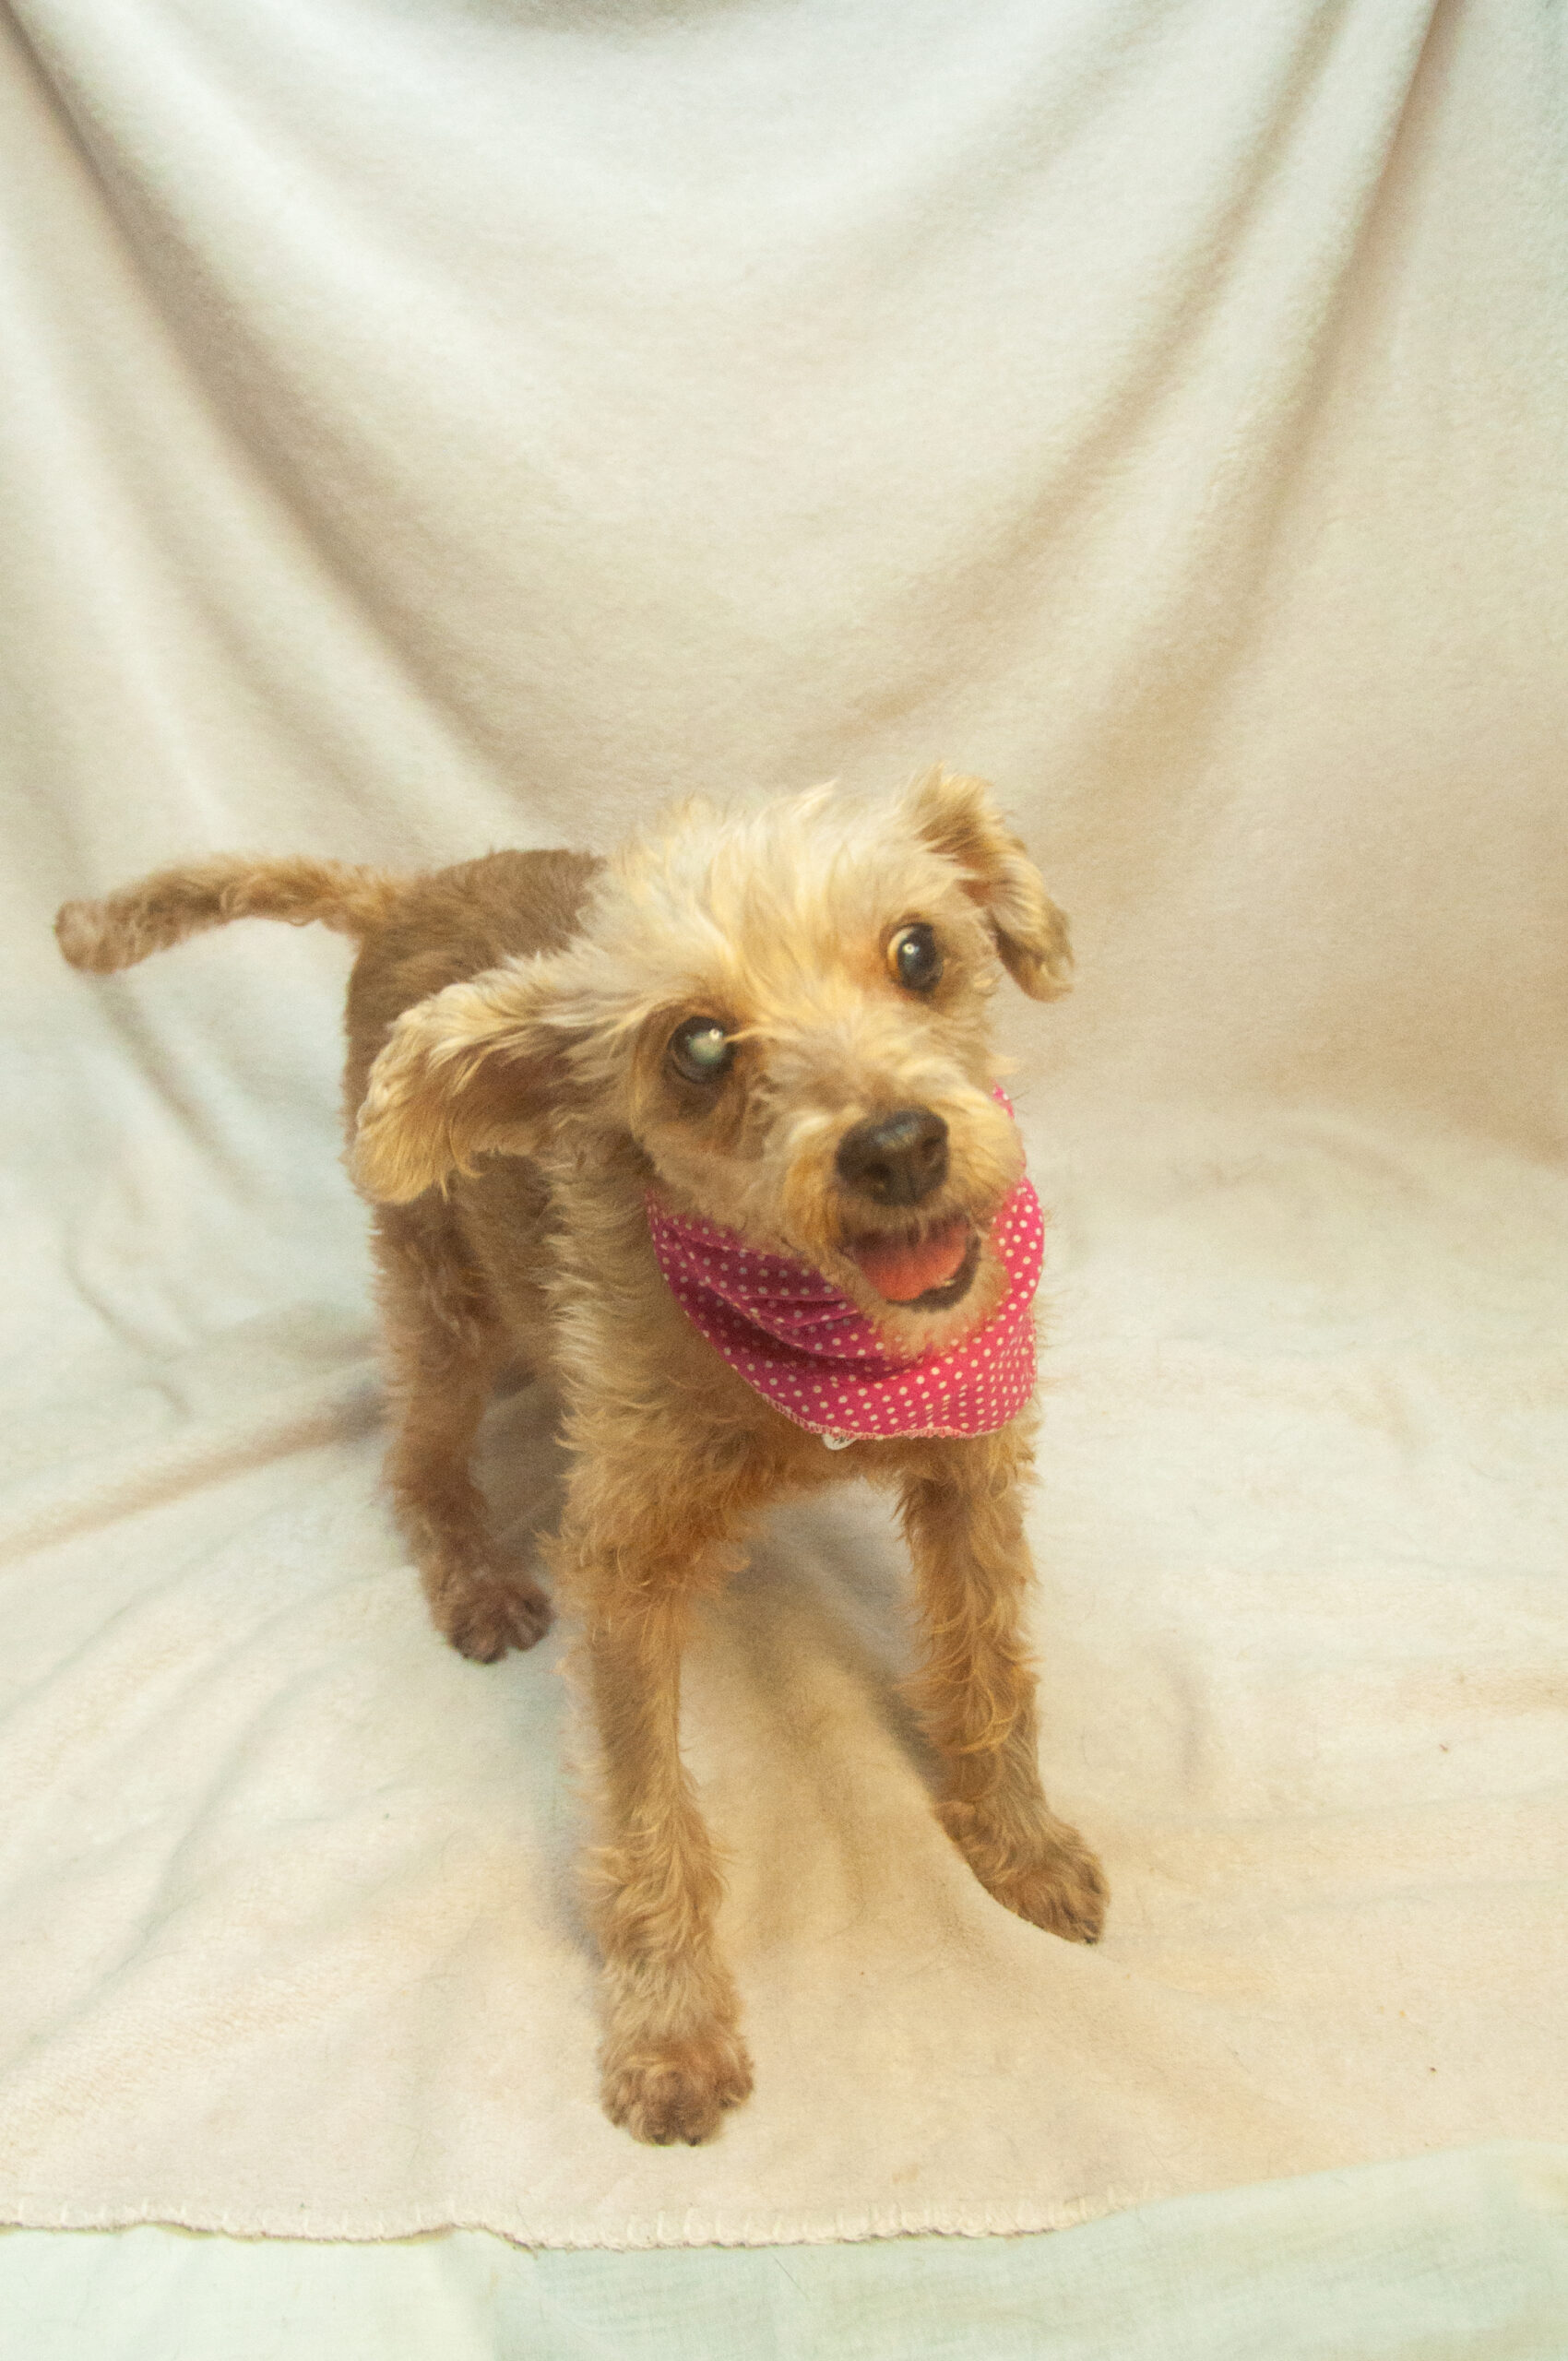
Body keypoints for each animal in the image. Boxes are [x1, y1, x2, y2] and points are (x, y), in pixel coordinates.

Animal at [56, 768, 1107, 2145]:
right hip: (443, 1299)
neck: (814, 1344)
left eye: (919, 951)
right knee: (413, 1453)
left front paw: (1020, 1844)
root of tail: (405, 892)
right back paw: (470, 1572)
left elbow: (992, 1674)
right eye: (698, 1048)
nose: (894, 1146)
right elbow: (647, 1807)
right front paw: (671, 2028)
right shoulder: (623, 1572)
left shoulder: (970, 1471)